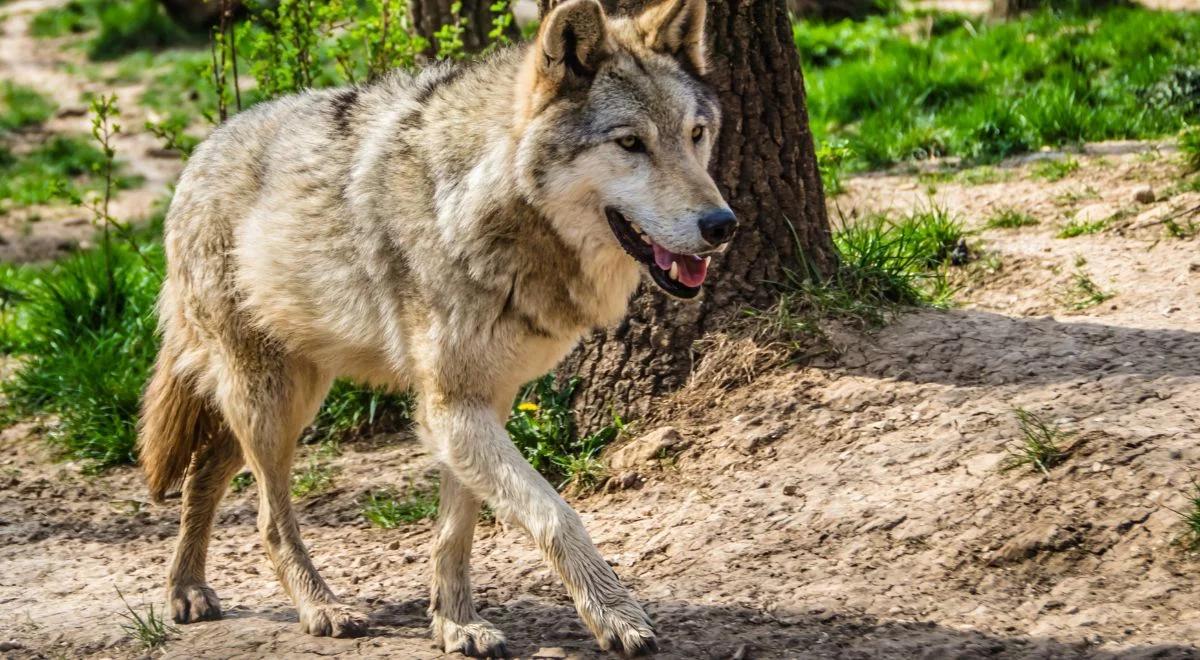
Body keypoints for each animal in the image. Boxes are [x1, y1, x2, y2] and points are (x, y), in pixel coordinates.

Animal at [138, 0, 739, 652]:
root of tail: (200, 153)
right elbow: (556, 514)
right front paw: (614, 616)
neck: (481, 206)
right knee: (269, 515)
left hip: (288, 393)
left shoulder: (484, 401)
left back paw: (187, 589)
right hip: (274, 402)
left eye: (695, 134)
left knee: (204, 472)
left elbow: (459, 529)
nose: (722, 224)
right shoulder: (449, 406)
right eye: (630, 143)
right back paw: (320, 607)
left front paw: (455, 622)